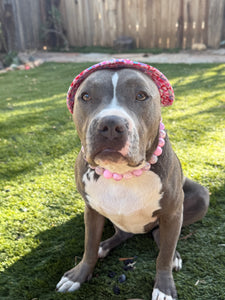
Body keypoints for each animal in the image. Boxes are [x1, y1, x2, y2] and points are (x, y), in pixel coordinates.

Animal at [55, 59, 209, 298]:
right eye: (86, 96)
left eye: (141, 95)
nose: (110, 125)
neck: (121, 172)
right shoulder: (91, 211)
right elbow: (89, 247)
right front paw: (78, 275)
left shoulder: (173, 212)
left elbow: (163, 258)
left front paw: (164, 288)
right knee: (122, 234)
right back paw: (104, 246)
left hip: (199, 197)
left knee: (160, 236)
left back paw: (171, 253)